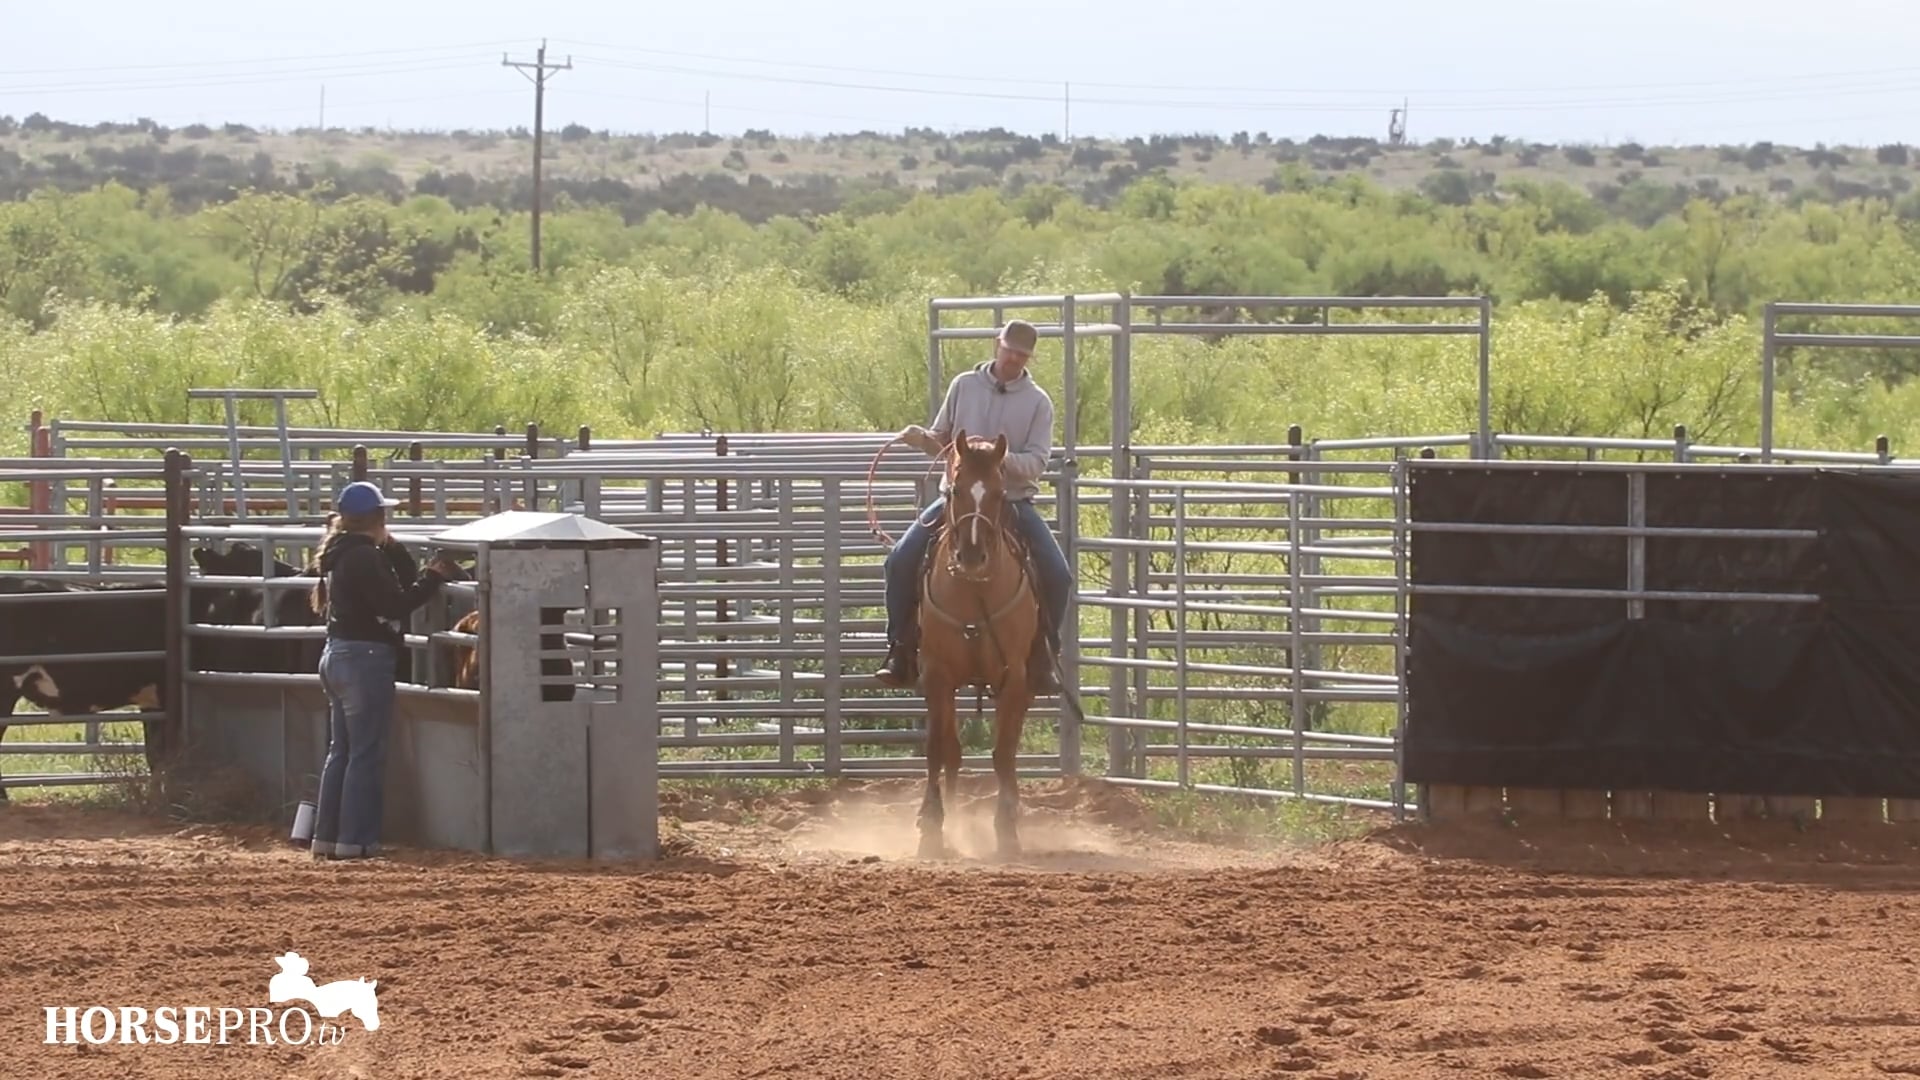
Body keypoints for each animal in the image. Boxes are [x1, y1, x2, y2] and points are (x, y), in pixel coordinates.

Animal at [914, 427, 1043, 860]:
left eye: (1000, 494)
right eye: (955, 490)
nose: (971, 556)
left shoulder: (1014, 678)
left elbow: (1003, 753)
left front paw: (1007, 830)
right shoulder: (936, 675)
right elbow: (938, 749)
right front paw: (931, 827)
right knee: (951, 751)